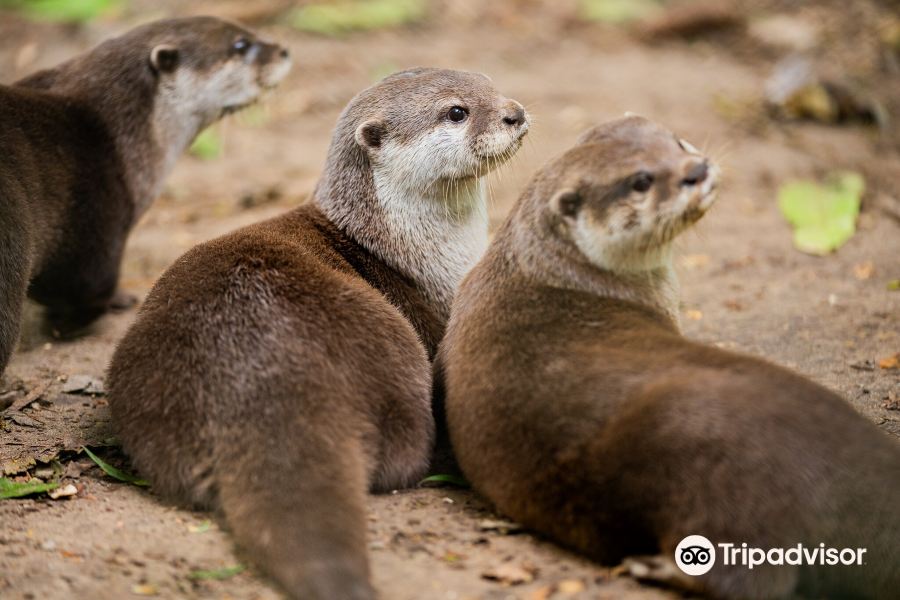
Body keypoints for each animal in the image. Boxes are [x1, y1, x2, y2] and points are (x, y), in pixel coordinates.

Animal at [0, 16, 288, 372]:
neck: (116, 135)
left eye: (248, 31)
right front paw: (107, 305)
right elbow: (84, 289)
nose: (284, 51)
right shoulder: (95, 227)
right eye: (240, 44)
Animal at [107, 68, 528, 600]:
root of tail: (268, 374)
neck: (405, 249)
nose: (515, 112)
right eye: (457, 112)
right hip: (394, 347)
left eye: (491, 84)